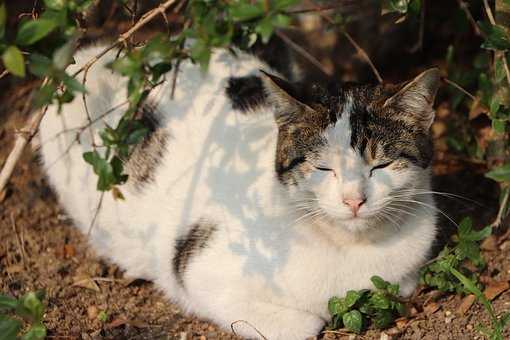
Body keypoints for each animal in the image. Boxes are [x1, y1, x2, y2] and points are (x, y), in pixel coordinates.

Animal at [38, 45, 438, 340]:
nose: (353, 200)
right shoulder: (198, 269)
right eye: (324, 168)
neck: (352, 249)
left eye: (380, 165)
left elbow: (404, 284)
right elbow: (305, 323)